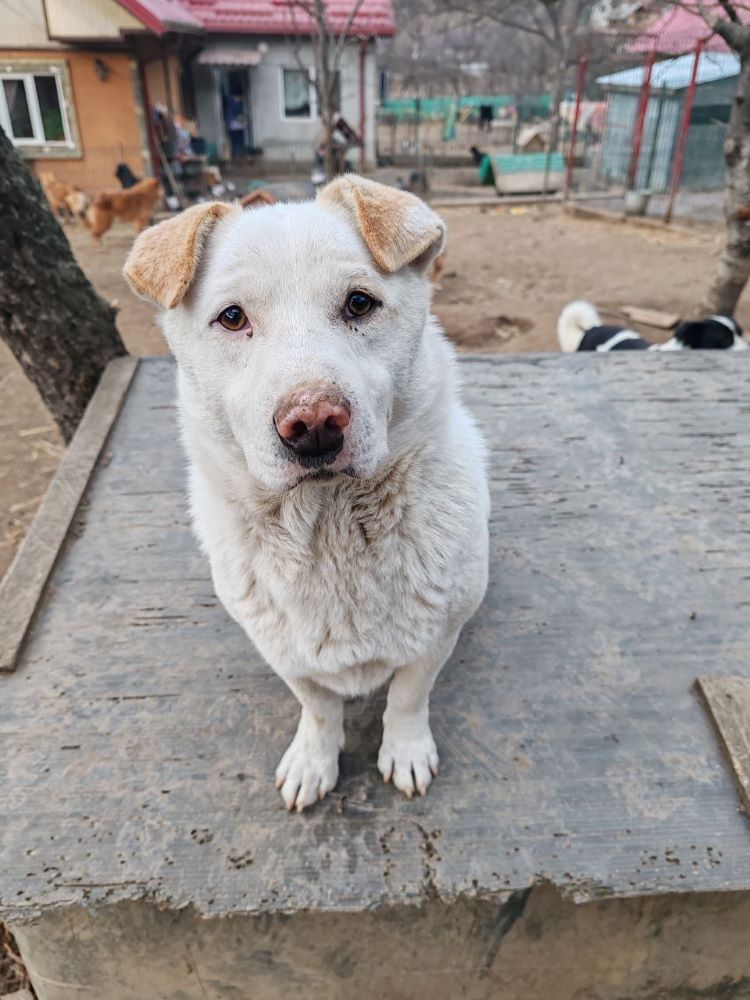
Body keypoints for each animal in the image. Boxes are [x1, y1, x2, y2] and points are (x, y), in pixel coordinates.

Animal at [126, 176, 490, 808]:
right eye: (231, 317)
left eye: (360, 303)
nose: (314, 424)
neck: (330, 529)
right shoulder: (283, 652)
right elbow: (319, 707)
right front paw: (314, 759)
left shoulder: (434, 640)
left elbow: (407, 697)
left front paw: (405, 749)